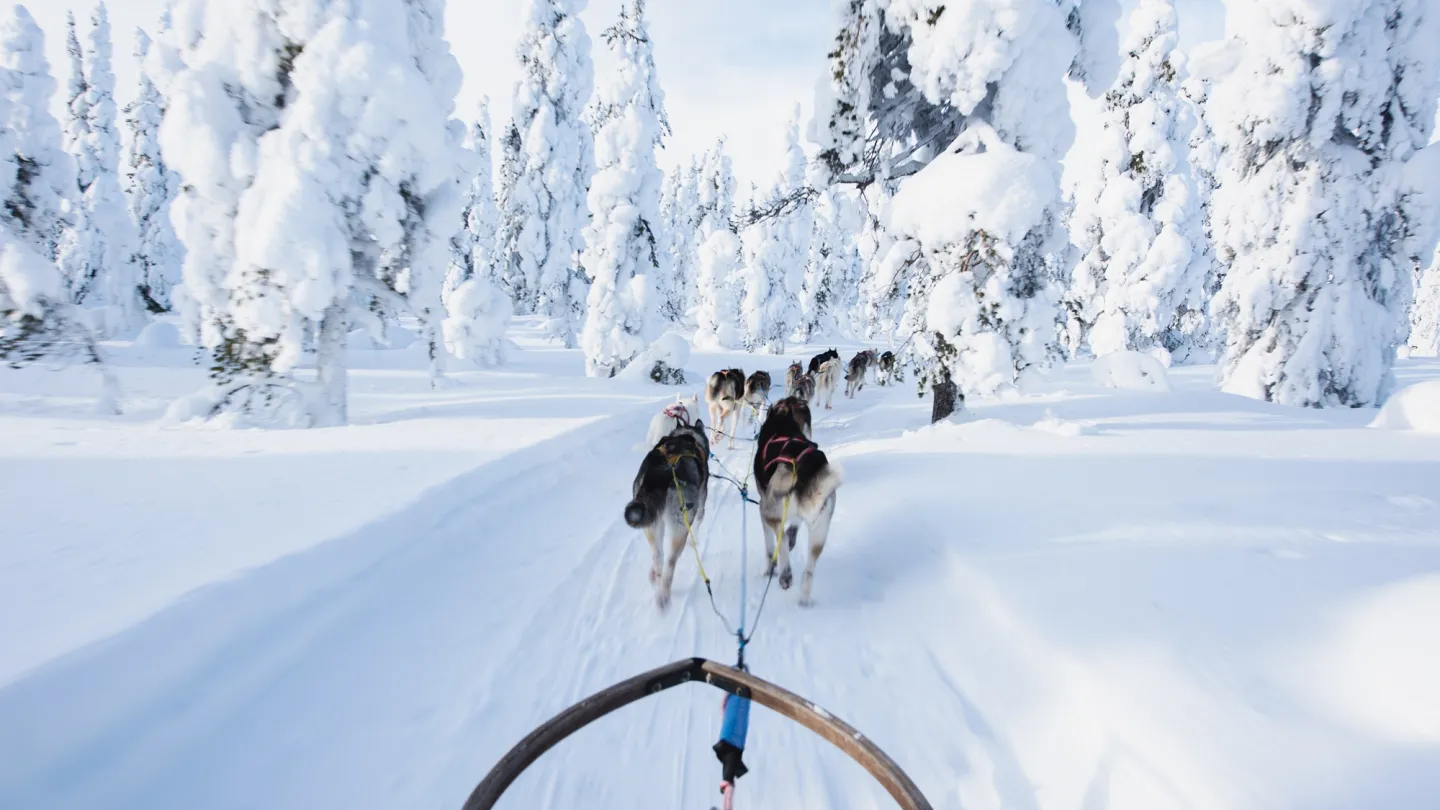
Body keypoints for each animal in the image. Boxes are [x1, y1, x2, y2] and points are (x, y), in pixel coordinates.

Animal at [622, 423, 711, 605]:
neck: (686, 435)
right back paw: (663, 595)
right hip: (679, 526)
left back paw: (656, 576)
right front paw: (694, 541)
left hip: (650, 523)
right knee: (670, 561)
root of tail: (661, 470)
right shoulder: (700, 506)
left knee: (658, 555)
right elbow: (698, 523)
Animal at [748, 394, 840, 602]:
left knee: (780, 540)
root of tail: (806, 466)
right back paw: (804, 599)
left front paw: (769, 569)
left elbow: (769, 548)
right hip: (819, 533)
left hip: (767, 510)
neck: (782, 423)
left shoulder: (762, 509)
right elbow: (794, 526)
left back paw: (785, 575)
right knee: (809, 569)